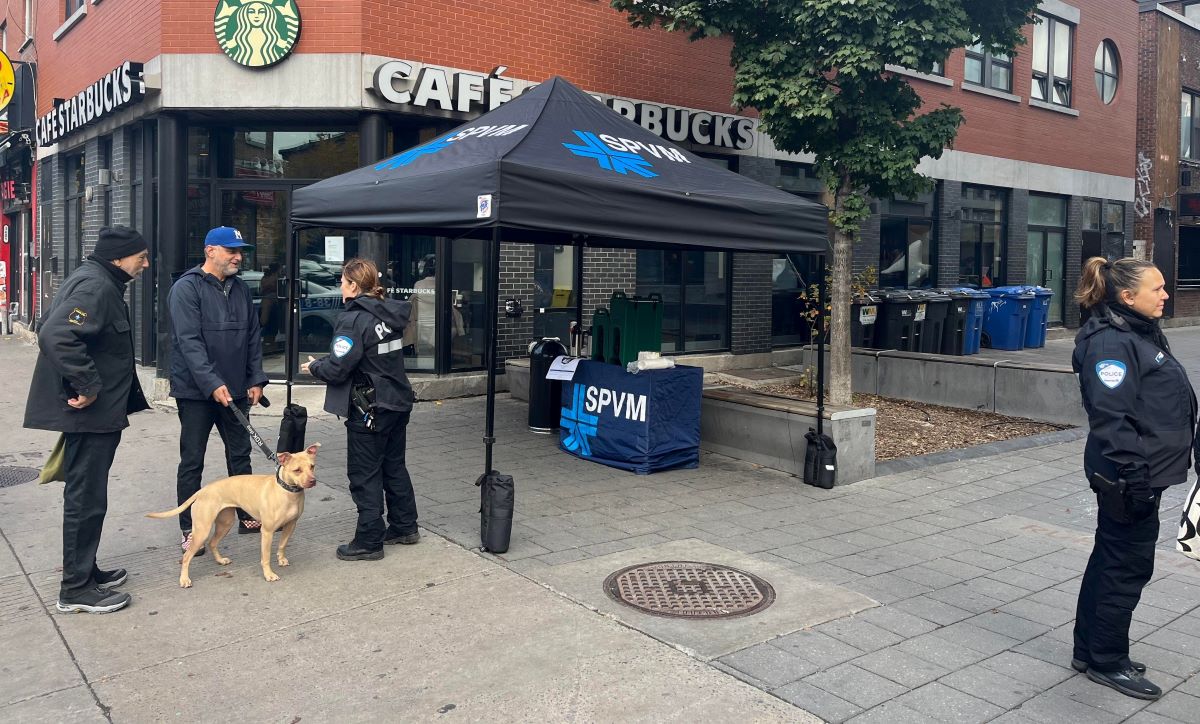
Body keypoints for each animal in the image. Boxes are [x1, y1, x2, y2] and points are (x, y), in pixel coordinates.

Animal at [147, 441, 321, 588]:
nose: (313, 481)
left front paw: (281, 559)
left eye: (312, 466)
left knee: (212, 543)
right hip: (202, 530)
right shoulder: (267, 532)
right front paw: (269, 574)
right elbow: (265, 557)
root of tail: (202, 490)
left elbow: (282, 544)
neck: (287, 491)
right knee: (187, 557)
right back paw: (184, 579)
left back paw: (220, 560)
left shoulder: (291, 525)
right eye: (297, 470)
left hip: (225, 523)